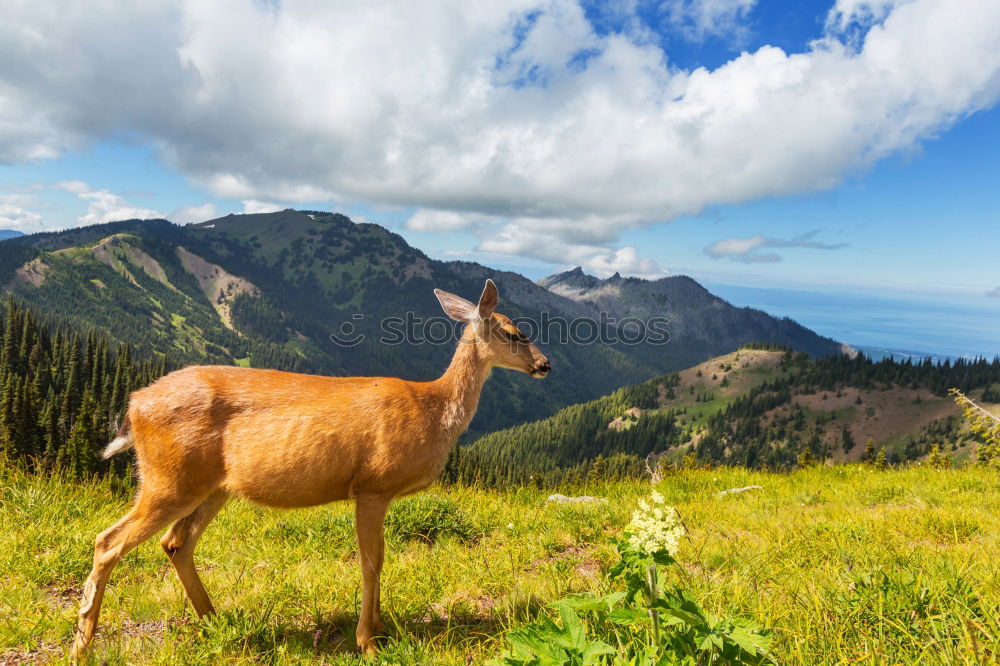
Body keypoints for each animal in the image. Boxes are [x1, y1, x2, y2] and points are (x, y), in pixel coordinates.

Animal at [73, 278, 552, 656]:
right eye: (514, 331)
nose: (544, 365)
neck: (431, 411)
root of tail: (134, 406)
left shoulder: (378, 493)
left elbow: (380, 559)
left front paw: (382, 628)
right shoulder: (373, 486)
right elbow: (371, 562)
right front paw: (368, 641)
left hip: (212, 487)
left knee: (175, 543)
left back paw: (215, 621)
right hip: (168, 478)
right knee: (108, 541)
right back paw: (83, 643)